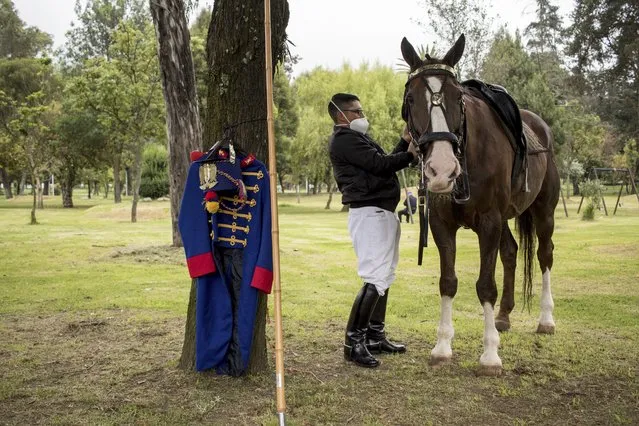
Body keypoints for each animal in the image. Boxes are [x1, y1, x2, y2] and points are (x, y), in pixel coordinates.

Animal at [402, 36, 564, 376]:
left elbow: (486, 285)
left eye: (458, 98)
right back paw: (503, 315)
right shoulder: (441, 225)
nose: (442, 169)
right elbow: (448, 282)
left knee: (545, 255)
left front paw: (490, 355)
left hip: (543, 212)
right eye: (411, 99)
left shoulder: (489, 221)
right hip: (504, 220)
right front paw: (442, 347)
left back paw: (546, 319)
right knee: (511, 252)